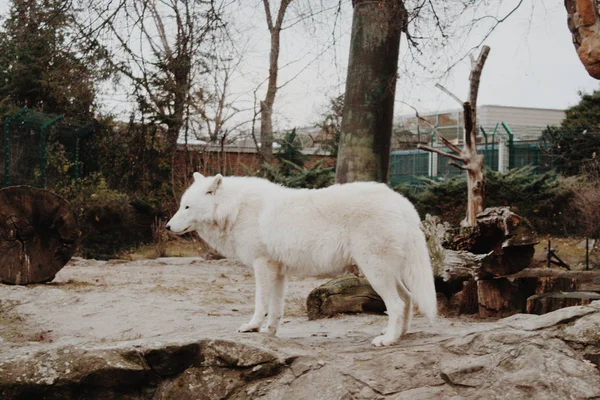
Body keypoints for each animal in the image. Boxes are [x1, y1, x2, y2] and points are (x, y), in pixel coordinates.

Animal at [164, 173, 436, 346]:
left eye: (186, 207)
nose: (167, 227)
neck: (235, 210)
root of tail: (401, 202)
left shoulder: (262, 265)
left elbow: (260, 303)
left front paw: (252, 327)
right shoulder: (278, 270)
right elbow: (275, 308)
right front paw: (269, 331)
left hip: (375, 271)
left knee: (397, 304)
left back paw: (387, 340)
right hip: (387, 272)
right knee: (408, 299)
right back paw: (400, 335)